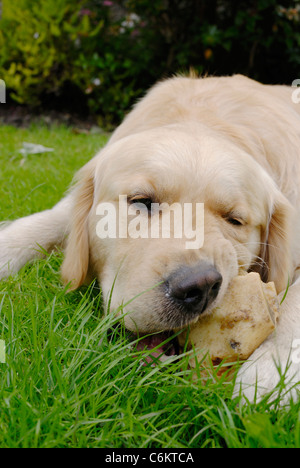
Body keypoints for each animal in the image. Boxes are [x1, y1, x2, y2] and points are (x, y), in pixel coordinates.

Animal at [0, 75, 300, 404]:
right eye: (142, 202)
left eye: (234, 220)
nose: (199, 287)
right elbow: (44, 222)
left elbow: (294, 300)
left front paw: (273, 369)